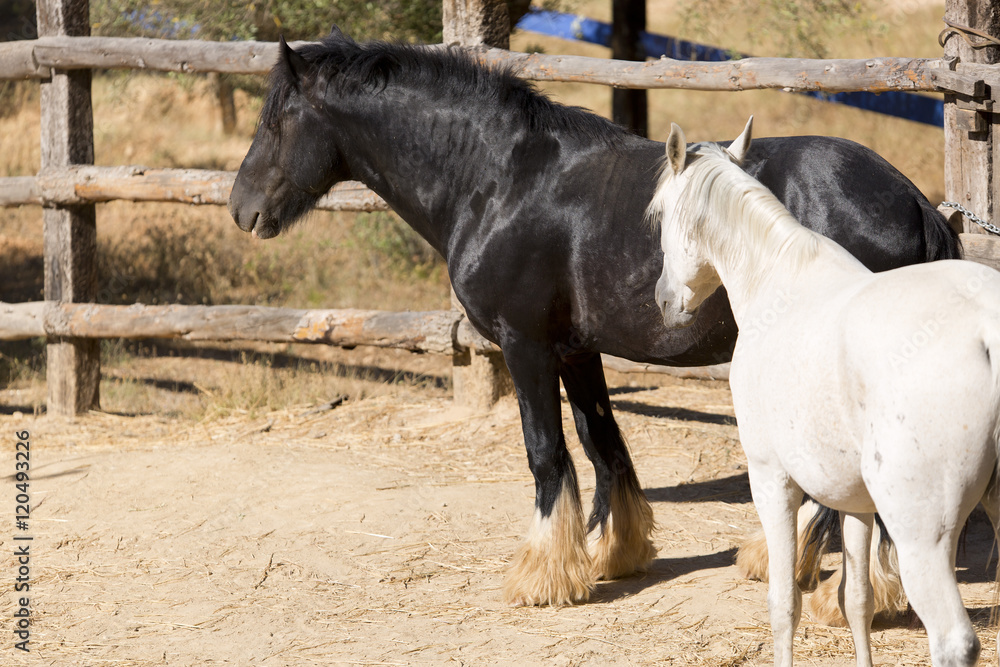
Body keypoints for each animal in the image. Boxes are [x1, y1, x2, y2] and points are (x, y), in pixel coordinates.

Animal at [228, 29, 960, 608]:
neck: (498, 182)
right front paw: (615, 552)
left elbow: (546, 452)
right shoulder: (576, 349)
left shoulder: (525, 345)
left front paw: (543, 575)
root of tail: (914, 201)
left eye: (277, 121)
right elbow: (601, 441)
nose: (241, 209)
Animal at [647, 117, 1000, 666]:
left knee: (953, 641)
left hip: (922, 537)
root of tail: (986, 328)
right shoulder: (855, 502)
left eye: (661, 214)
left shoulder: (771, 479)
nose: (665, 301)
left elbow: (783, 602)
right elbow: (858, 601)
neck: (779, 281)